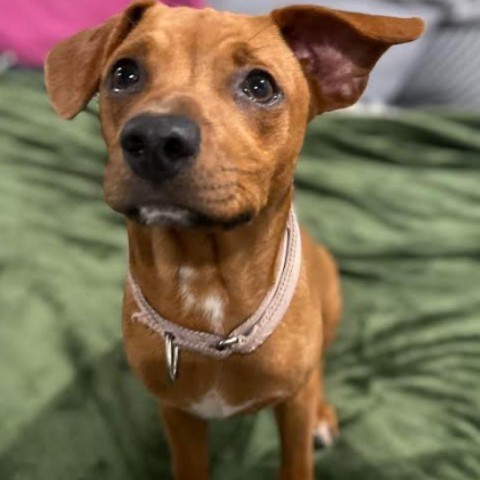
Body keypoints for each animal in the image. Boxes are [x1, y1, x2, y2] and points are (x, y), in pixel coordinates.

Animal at [43, 1, 422, 478]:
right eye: (124, 73)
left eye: (260, 85)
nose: (154, 139)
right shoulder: (178, 416)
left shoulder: (292, 412)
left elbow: (297, 456)